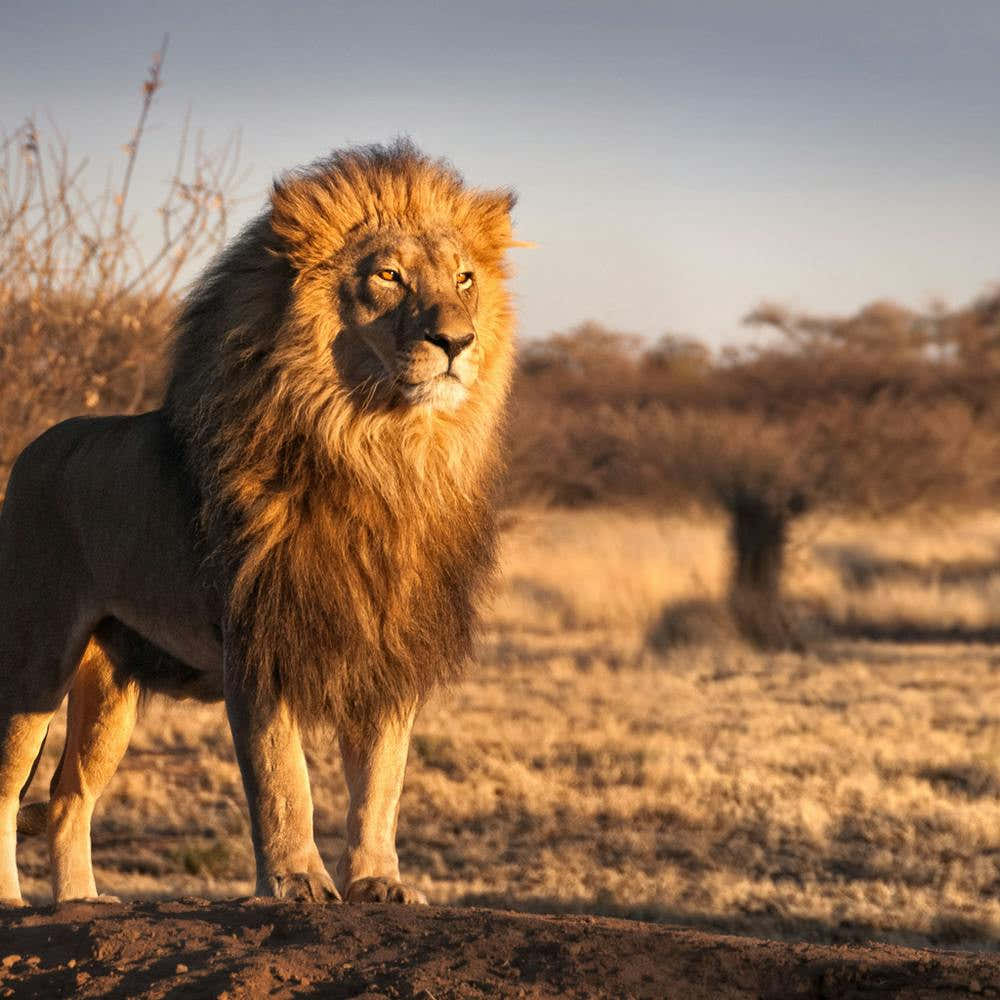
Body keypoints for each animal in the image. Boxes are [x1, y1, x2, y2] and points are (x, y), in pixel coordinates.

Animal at [0, 141, 518, 906]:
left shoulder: (390, 646)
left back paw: (81, 903)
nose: (456, 340)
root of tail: (35, 447)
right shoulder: (258, 640)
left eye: (464, 278)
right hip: (34, 658)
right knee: (8, 784)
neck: (382, 452)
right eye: (388, 276)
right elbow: (283, 778)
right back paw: (13, 900)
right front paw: (296, 881)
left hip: (111, 687)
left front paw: (379, 882)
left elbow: (382, 783)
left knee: (69, 798)